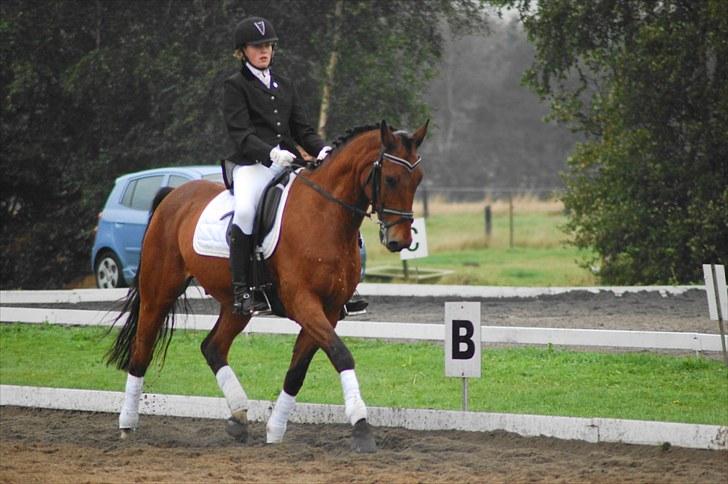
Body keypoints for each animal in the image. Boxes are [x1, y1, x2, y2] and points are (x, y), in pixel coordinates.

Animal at [106, 119, 426, 452]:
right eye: (390, 179)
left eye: (418, 179)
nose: (400, 241)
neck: (324, 215)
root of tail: (172, 195)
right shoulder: (303, 303)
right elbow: (341, 354)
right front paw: (361, 426)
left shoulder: (330, 309)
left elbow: (297, 371)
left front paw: (275, 430)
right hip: (159, 291)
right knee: (142, 348)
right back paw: (127, 424)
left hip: (236, 306)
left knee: (212, 347)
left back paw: (238, 416)